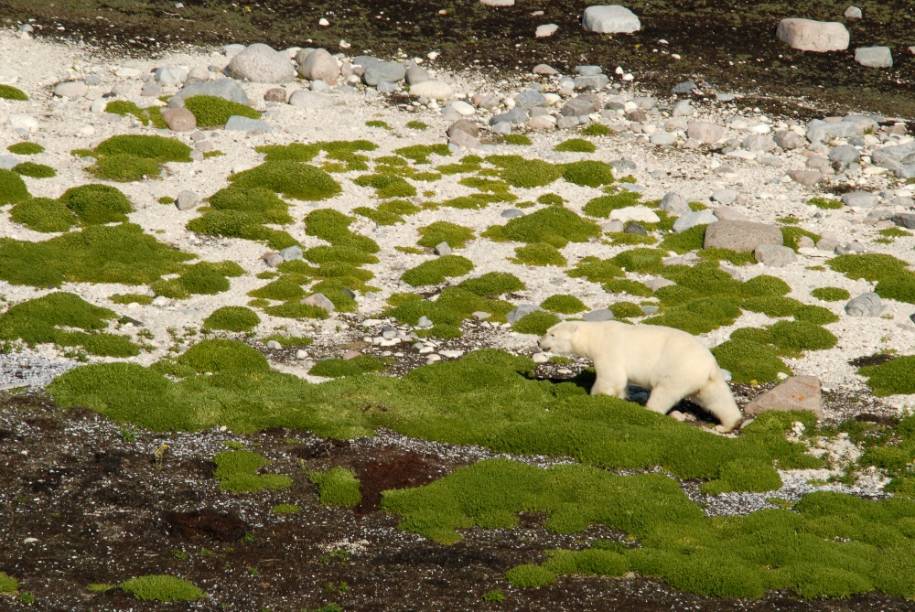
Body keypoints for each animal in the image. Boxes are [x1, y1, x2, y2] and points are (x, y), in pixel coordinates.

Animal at [539, 320, 742, 432]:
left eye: (552, 334)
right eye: (547, 330)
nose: (539, 342)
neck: (596, 335)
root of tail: (709, 363)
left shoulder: (609, 349)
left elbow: (611, 377)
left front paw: (597, 397)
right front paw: (619, 398)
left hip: (677, 369)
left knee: (663, 393)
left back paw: (649, 410)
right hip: (706, 379)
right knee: (717, 398)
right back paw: (728, 424)